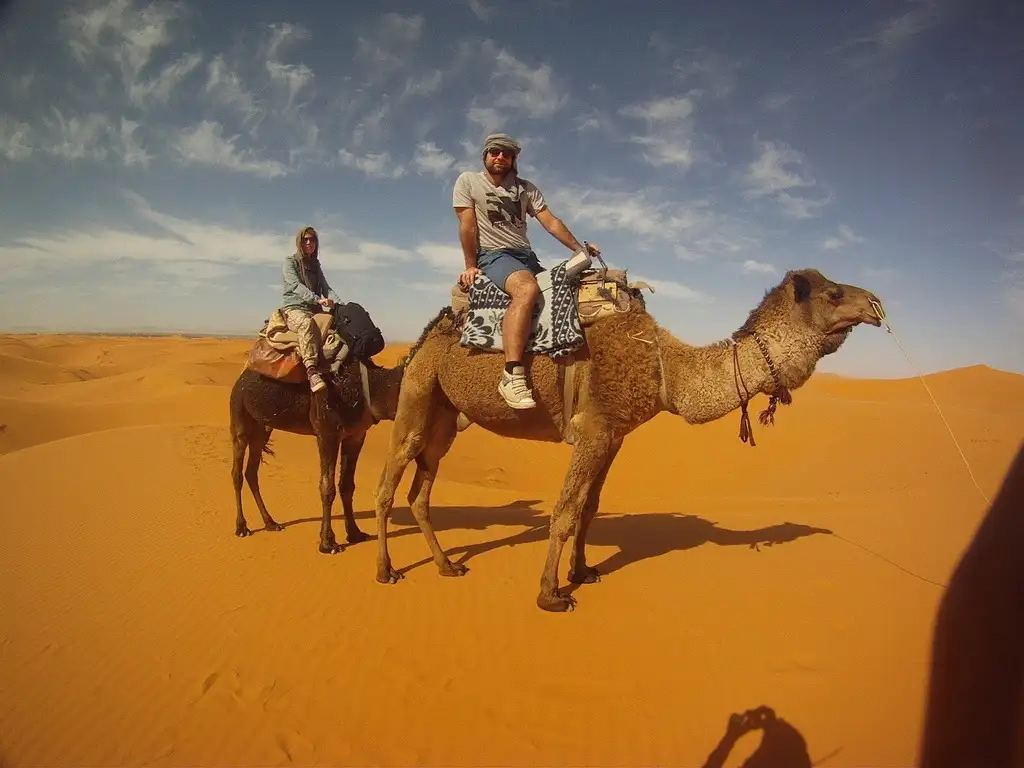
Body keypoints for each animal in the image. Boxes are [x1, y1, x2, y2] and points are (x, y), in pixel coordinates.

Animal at [229, 358, 403, 557]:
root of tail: (240, 378)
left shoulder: (356, 435)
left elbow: (347, 486)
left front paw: (355, 534)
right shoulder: (327, 434)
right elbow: (327, 488)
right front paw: (328, 543)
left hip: (262, 428)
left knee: (251, 471)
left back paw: (271, 523)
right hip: (239, 413)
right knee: (237, 471)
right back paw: (242, 527)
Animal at [372, 268, 884, 614]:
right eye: (833, 293)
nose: (876, 303)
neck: (664, 371)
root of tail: (431, 331)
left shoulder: (615, 436)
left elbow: (589, 508)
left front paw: (582, 572)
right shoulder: (593, 430)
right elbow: (564, 511)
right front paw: (550, 594)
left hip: (446, 417)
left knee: (420, 490)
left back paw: (447, 566)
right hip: (418, 393)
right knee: (389, 482)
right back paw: (386, 570)